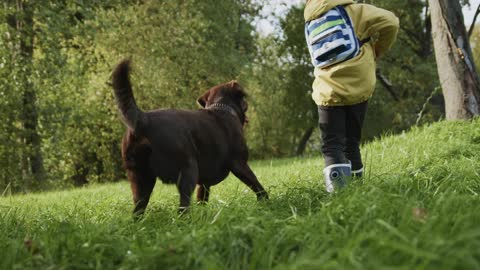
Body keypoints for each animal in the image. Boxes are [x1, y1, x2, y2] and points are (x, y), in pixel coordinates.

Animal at [112, 60, 268, 216]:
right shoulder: (239, 164)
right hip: (188, 171)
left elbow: (202, 198)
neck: (222, 108)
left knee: (138, 210)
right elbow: (257, 185)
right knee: (183, 207)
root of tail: (143, 120)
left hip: (140, 179)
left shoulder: (204, 183)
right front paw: (267, 203)